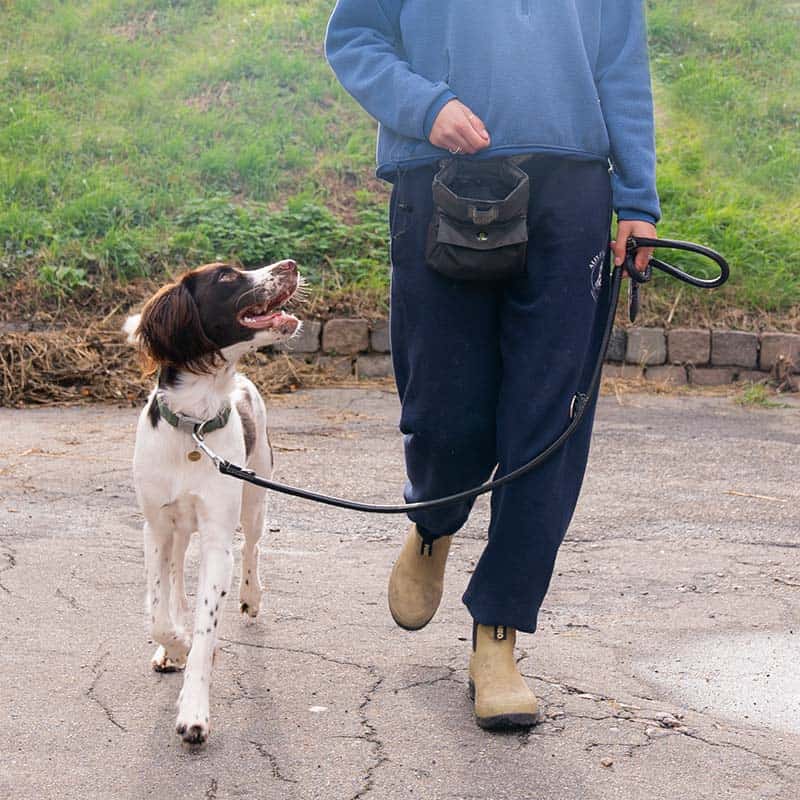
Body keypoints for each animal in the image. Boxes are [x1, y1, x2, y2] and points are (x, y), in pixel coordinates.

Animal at [126, 258, 302, 744]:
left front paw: (194, 711)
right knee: (174, 582)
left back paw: (251, 596)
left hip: (256, 494)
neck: (194, 426)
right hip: (179, 531)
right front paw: (175, 646)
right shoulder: (155, 529)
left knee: (254, 546)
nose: (290, 264)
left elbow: (206, 631)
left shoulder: (218, 539)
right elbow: (158, 613)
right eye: (226, 276)